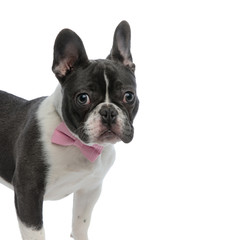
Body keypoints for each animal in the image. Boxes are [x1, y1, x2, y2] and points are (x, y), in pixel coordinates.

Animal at [0, 21, 139, 240]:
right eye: (83, 98)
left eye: (129, 96)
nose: (108, 111)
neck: (76, 142)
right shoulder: (28, 193)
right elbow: (36, 233)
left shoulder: (90, 189)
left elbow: (80, 223)